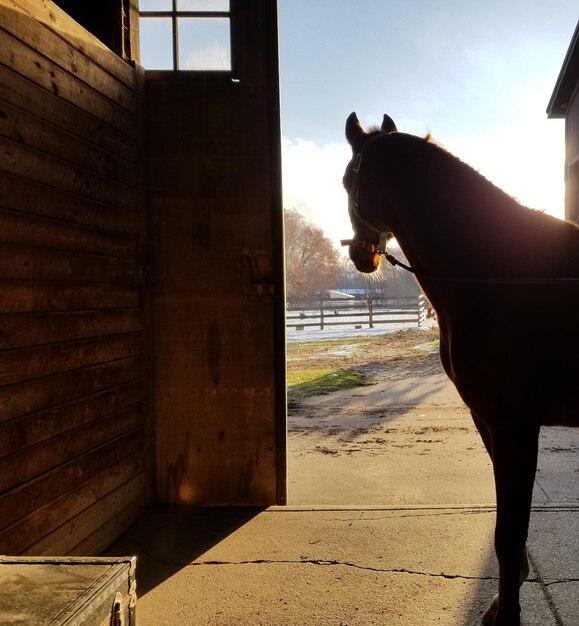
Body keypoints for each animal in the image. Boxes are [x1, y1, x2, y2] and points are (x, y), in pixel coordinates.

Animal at [342, 112, 576, 624]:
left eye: (349, 180)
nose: (360, 256)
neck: (497, 274)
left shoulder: (513, 425)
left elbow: (508, 534)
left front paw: (506, 615)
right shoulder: (487, 422)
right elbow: (509, 531)